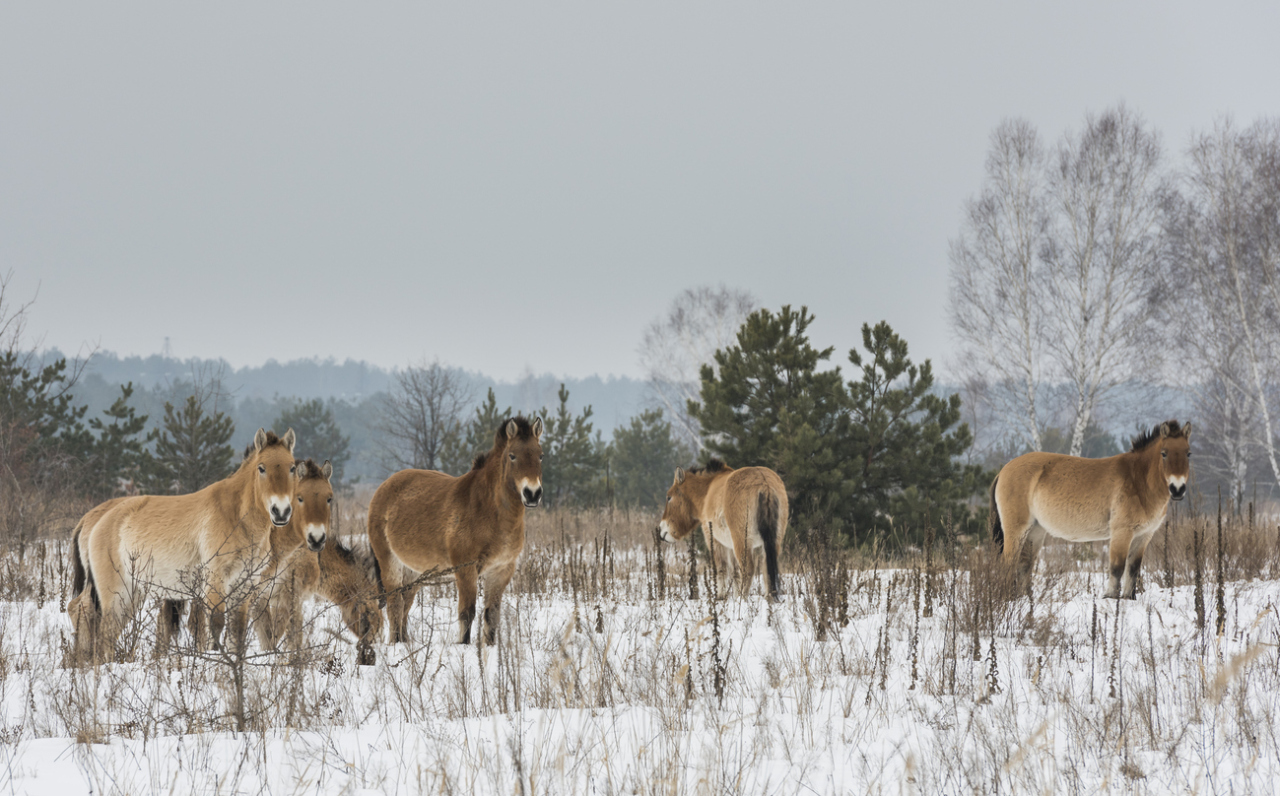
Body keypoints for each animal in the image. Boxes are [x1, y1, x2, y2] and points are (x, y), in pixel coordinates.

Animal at [85, 427, 299, 660]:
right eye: (261, 468)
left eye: (292, 467)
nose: (281, 512)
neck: (236, 517)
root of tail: (100, 520)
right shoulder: (215, 580)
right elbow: (216, 624)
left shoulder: (244, 585)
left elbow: (237, 632)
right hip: (116, 597)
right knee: (105, 635)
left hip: (133, 595)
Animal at [254, 537, 381, 665]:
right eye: (370, 612)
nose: (369, 657)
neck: (318, 562)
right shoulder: (287, 599)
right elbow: (285, 638)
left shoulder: (276, 600)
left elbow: (269, 638)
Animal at [368, 417, 542, 650]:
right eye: (512, 456)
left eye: (540, 455)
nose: (532, 494)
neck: (488, 510)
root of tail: (384, 487)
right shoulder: (466, 569)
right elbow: (467, 613)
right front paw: (464, 646)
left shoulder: (501, 571)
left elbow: (492, 615)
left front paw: (489, 648)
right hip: (390, 563)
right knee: (395, 604)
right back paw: (396, 645)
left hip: (413, 572)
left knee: (405, 603)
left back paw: (404, 643)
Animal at [660, 458, 788, 601]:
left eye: (669, 497)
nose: (662, 530)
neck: (707, 491)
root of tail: (764, 483)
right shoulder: (731, 545)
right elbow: (735, 573)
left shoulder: (715, 540)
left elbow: (721, 569)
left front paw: (720, 596)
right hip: (772, 542)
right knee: (766, 569)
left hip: (742, 542)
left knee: (748, 569)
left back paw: (742, 598)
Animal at [988, 422, 1187, 601]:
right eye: (1164, 453)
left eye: (1188, 453)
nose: (1178, 489)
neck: (1137, 479)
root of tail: (1003, 471)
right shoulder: (1122, 533)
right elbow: (1117, 568)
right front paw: (1110, 598)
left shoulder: (1144, 536)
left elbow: (1133, 570)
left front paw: (1128, 599)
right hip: (1017, 531)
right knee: (1009, 563)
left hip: (1035, 532)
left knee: (1024, 565)